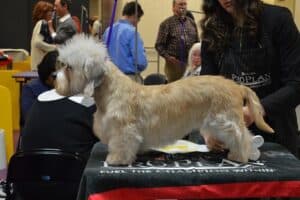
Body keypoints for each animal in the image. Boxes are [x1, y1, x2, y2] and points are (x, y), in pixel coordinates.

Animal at [55, 34, 274, 166]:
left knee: (241, 137)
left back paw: (240, 155)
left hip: (224, 120)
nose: (54, 79)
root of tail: (236, 86)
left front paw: (116, 159)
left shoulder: (123, 130)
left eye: (68, 67)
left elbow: (121, 145)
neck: (111, 91)